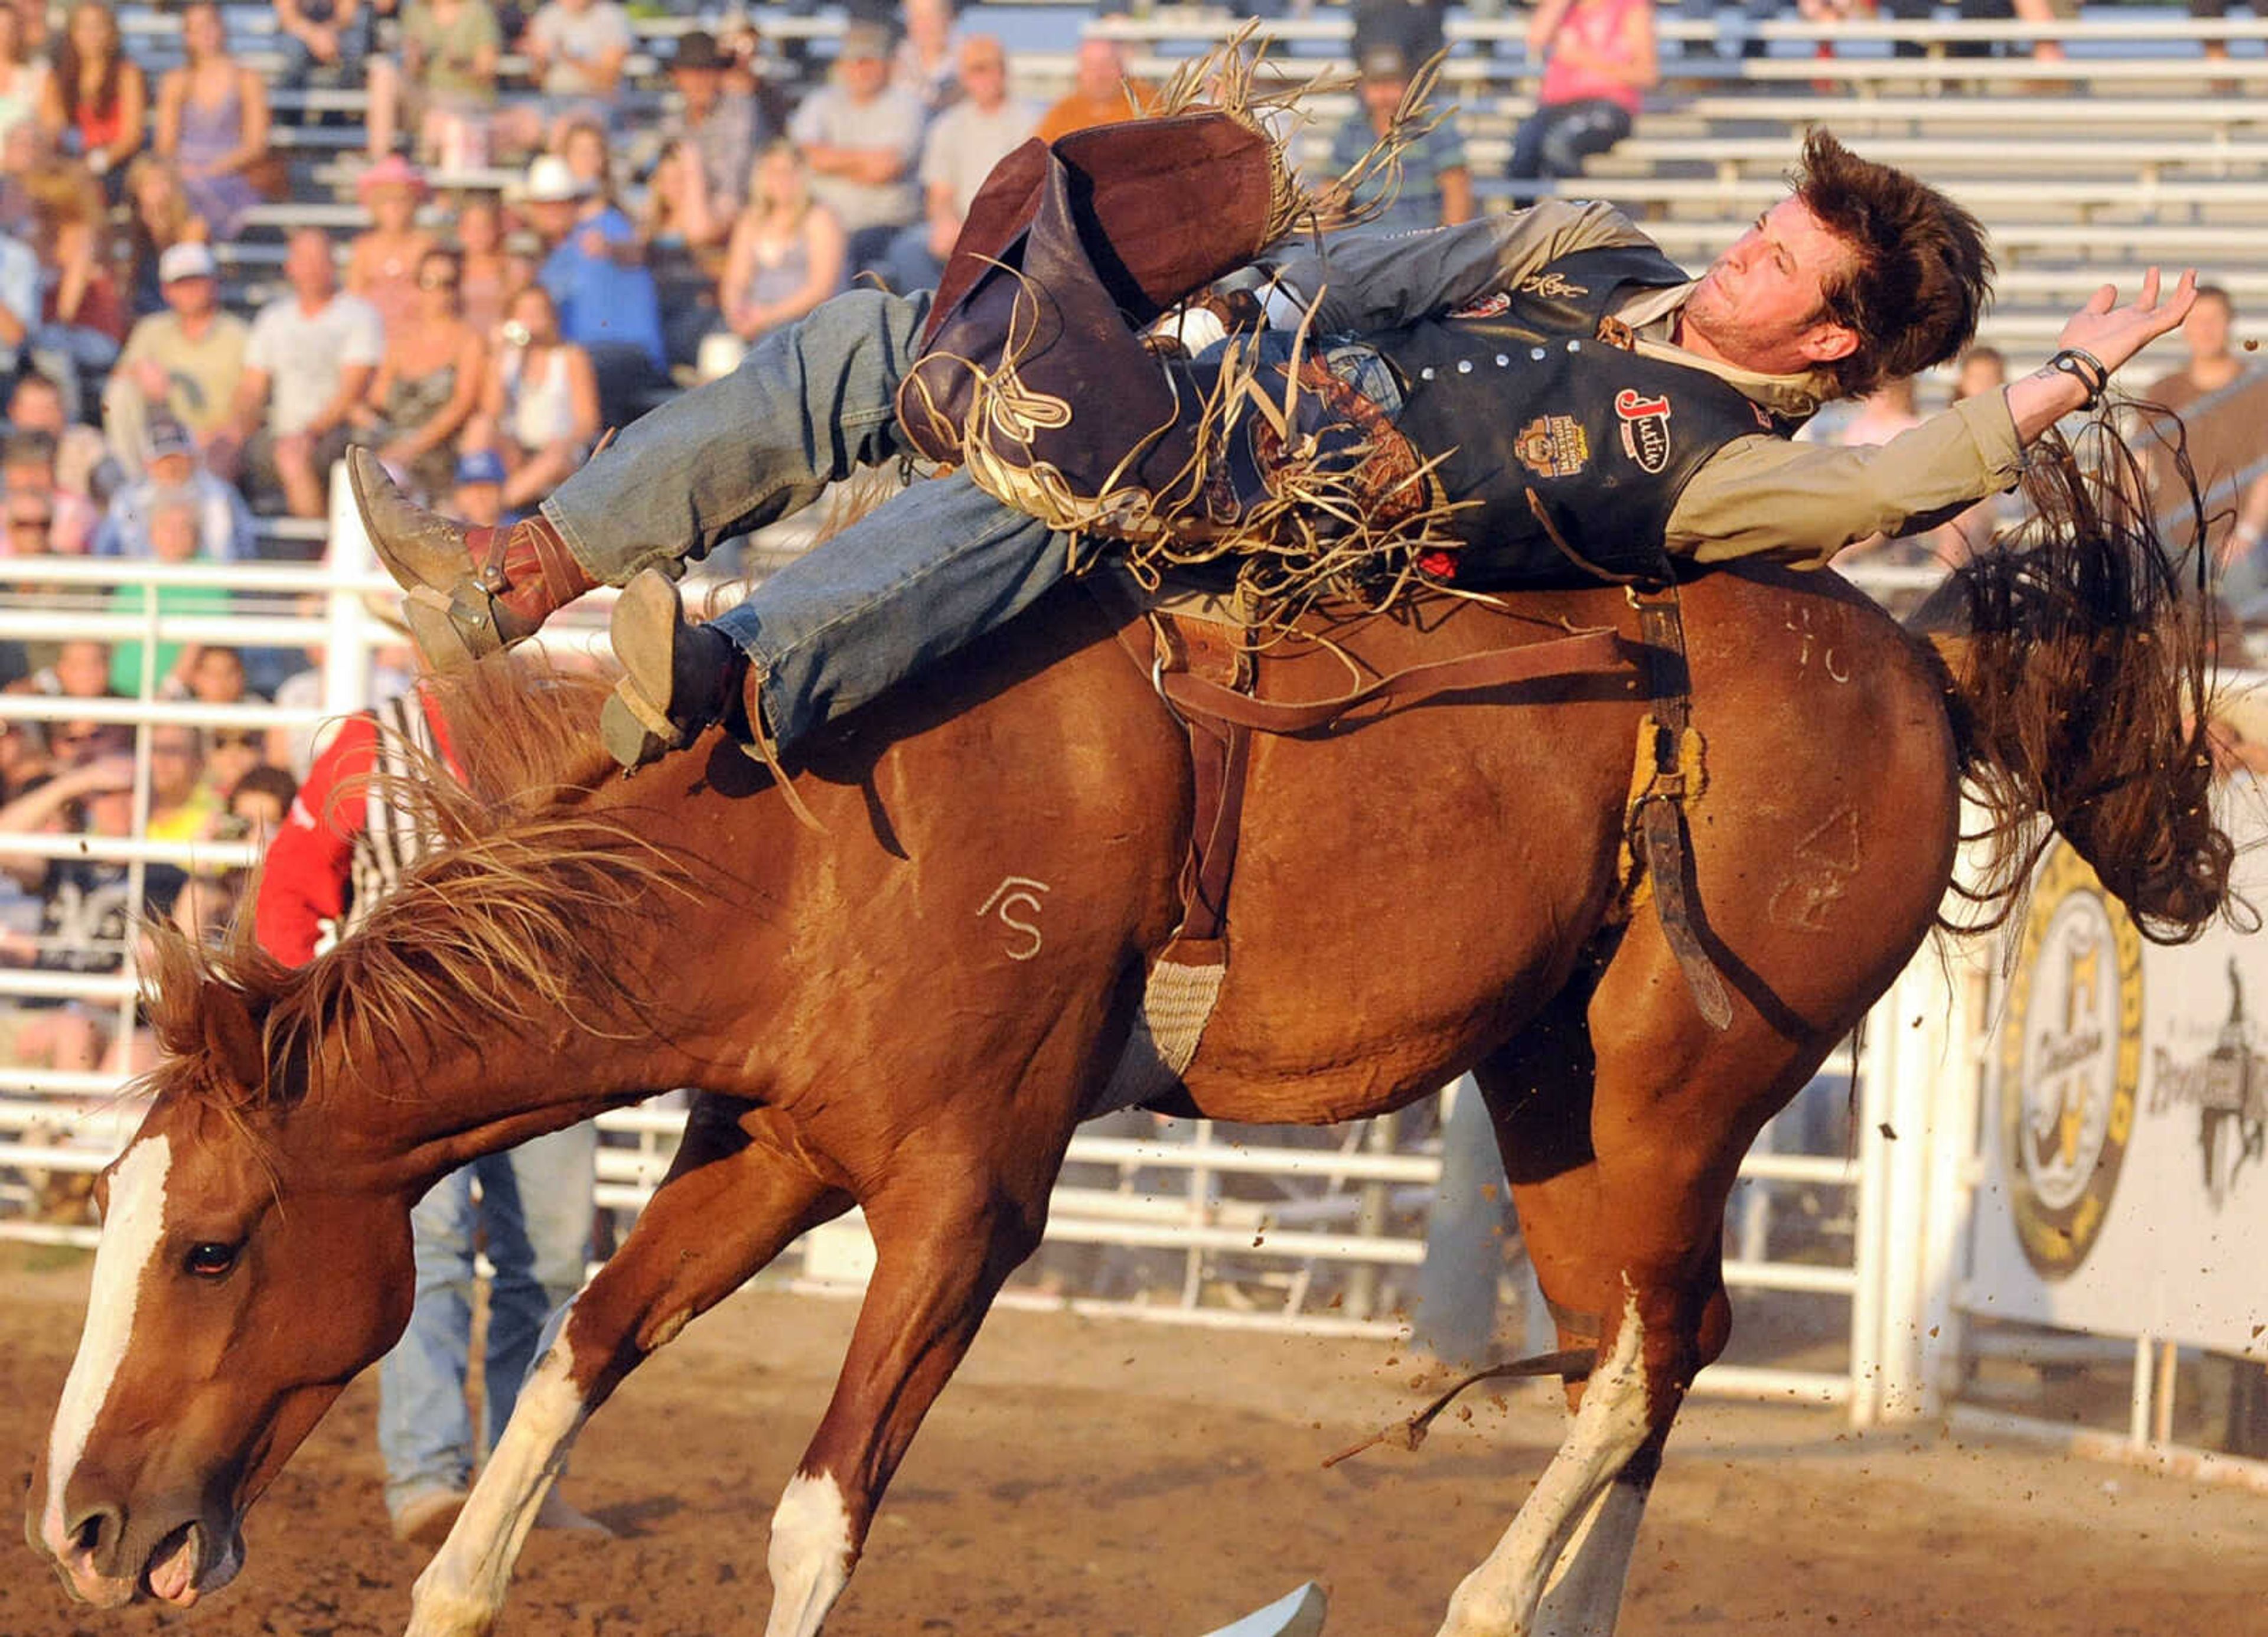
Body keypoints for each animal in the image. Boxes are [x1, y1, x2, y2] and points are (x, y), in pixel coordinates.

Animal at [22, 449, 2213, 1632]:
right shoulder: (772, 1146)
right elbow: (570, 1362)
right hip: (1553, 1087)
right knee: (1643, 1361)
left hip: (1681, 1078)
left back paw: (1484, 1601)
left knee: (1647, 1355)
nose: (85, 1529)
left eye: (209, 1243)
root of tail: (1918, 654)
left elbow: (815, 1513)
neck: (825, 830)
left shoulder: (965, 1198)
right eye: (115, 1224)